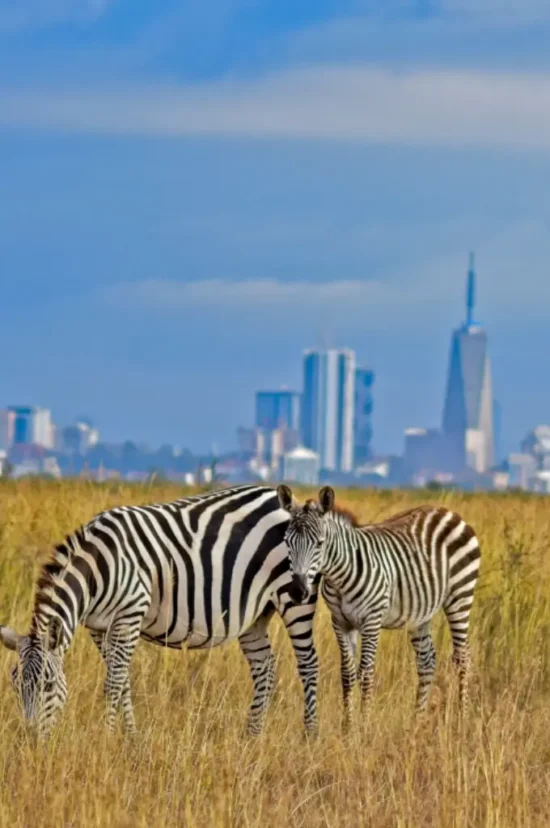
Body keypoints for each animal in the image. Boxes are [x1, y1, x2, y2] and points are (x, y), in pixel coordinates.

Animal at [0, 484, 319, 738]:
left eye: (49, 685)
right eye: (15, 685)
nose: (31, 739)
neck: (97, 571)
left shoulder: (130, 614)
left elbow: (114, 683)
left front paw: (107, 737)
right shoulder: (98, 627)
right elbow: (123, 682)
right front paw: (131, 737)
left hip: (294, 597)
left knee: (308, 664)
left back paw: (309, 736)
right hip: (255, 613)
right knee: (265, 667)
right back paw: (252, 736)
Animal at [277, 484, 481, 727]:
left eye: (319, 543)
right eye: (287, 542)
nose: (298, 591)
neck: (340, 576)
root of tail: (447, 511)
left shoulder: (371, 620)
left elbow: (366, 673)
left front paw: (364, 727)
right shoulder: (341, 622)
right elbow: (347, 674)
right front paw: (348, 727)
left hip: (460, 596)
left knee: (463, 658)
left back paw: (463, 719)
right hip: (419, 613)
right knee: (426, 661)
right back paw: (417, 720)